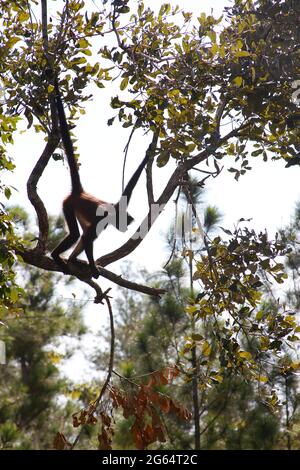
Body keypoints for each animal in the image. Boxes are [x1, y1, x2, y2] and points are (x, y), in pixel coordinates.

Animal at [52, 79, 150, 280]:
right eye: (124, 223)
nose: (125, 230)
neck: (114, 211)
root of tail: (80, 192)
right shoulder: (102, 217)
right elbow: (87, 237)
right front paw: (93, 268)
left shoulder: (119, 204)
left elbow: (129, 188)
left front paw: (149, 153)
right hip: (68, 204)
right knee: (76, 235)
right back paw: (56, 256)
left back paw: (72, 259)